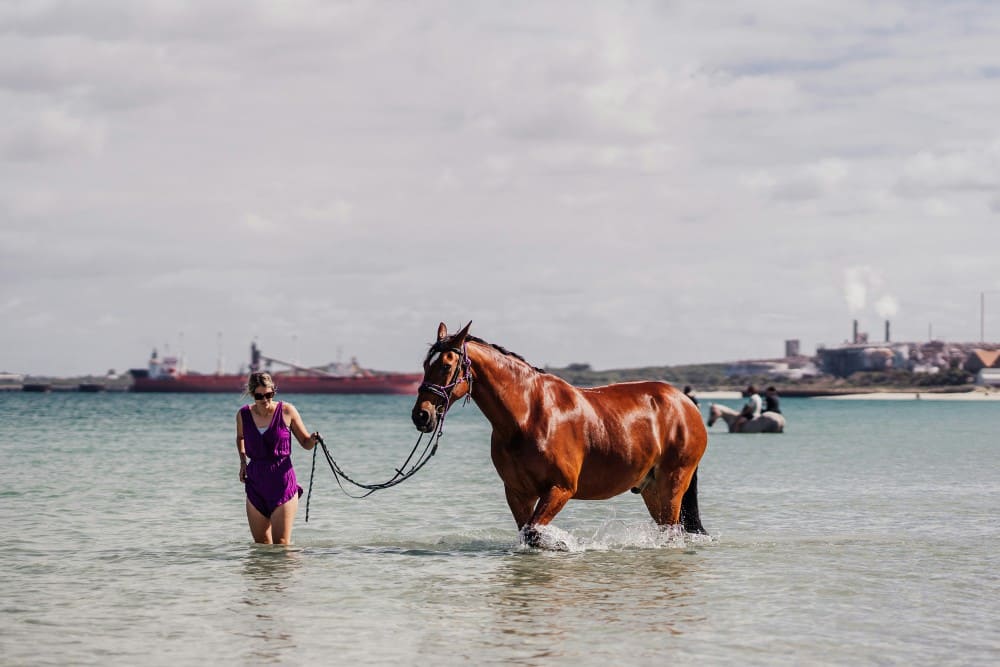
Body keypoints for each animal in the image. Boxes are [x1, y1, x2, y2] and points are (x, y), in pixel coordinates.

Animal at [411, 322, 709, 548]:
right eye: (426, 364)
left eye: (447, 365)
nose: (422, 415)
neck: (528, 415)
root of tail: (686, 403)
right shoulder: (518, 493)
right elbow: (527, 533)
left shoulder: (560, 489)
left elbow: (534, 532)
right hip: (651, 489)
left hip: (672, 484)